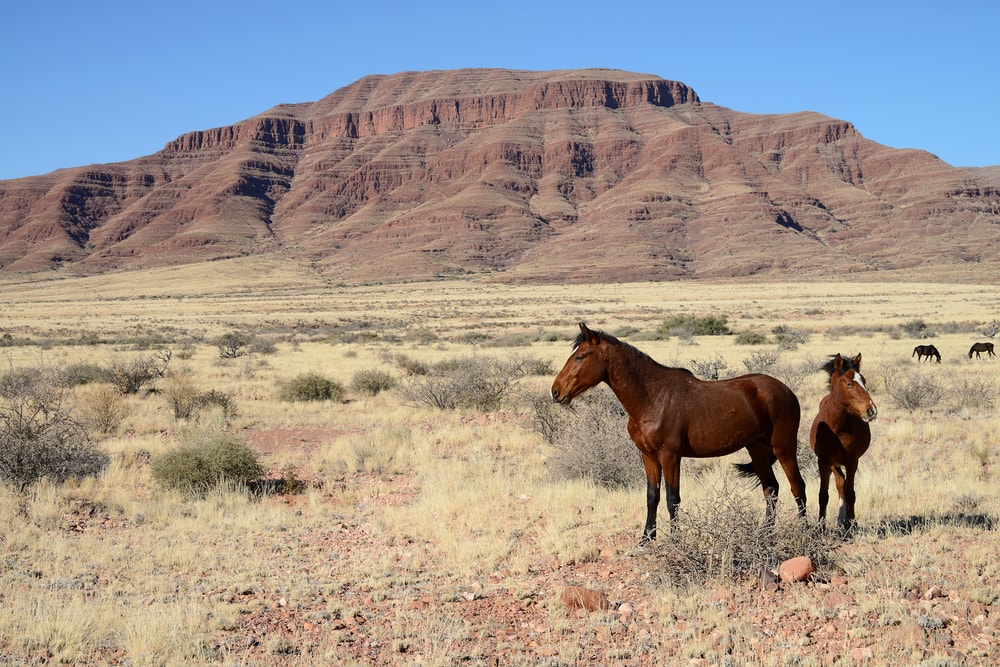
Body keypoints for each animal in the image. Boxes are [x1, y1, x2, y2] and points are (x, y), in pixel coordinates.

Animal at [550, 323, 806, 542]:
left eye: (580, 356)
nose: (555, 391)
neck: (652, 397)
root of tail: (786, 391)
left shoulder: (670, 456)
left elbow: (672, 499)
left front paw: (675, 540)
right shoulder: (648, 456)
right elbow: (652, 497)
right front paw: (646, 539)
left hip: (783, 448)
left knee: (797, 487)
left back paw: (806, 532)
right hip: (758, 448)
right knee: (771, 489)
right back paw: (764, 534)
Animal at [809, 353, 877, 533]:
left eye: (864, 380)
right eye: (849, 383)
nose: (871, 410)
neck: (836, 430)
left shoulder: (852, 462)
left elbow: (851, 493)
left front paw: (852, 524)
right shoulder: (824, 462)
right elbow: (823, 495)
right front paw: (821, 527)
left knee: (844, 487)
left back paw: (844, 520)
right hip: (834, 464)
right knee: (840, 484)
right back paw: (841, 519)